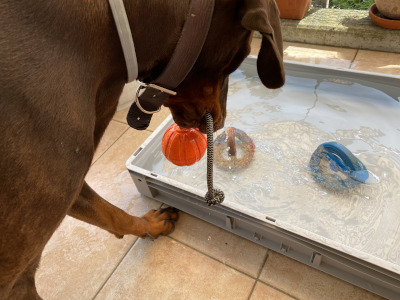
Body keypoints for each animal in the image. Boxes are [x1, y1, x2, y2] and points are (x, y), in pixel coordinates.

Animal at [0, 0, 284, 298]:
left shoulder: (67, 187)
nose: (221, 123)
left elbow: (111, 213)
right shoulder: (16, 270)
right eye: (238, 59)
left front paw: (151, 224)